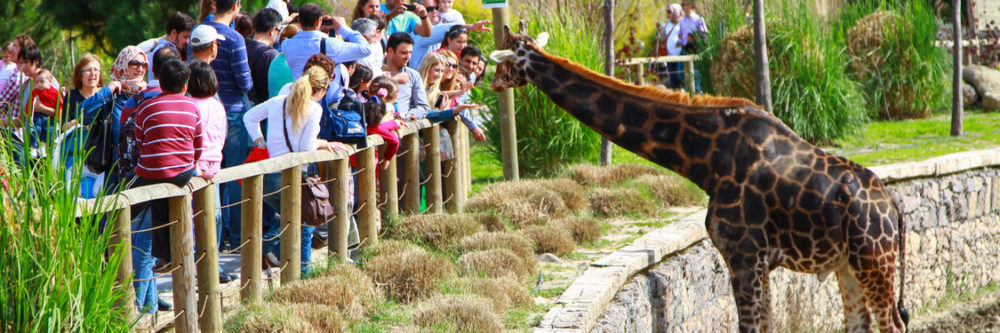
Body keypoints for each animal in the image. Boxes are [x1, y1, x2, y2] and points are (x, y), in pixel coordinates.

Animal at [488, 26, 912, 332]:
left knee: (892, 323)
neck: (706, 162)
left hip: (874, 260)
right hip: (848, 264)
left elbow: (750, 327)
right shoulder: (759, 262)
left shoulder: (743, 254)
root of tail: (894, 206)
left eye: (502, 60)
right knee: (860, 323)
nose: (491, 84)